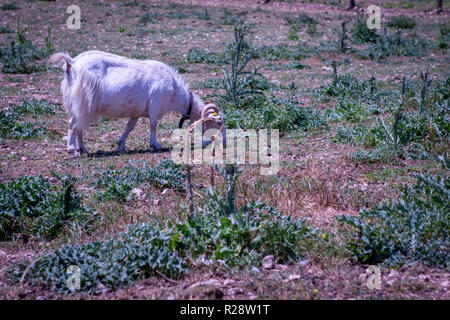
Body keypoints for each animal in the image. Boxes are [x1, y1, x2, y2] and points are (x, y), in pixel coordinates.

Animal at [49, 50, 225, 156]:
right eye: (218, 122)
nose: (223, 142)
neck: (175, 91)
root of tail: (72, 63)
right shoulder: (155, 105)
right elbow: (153, 125)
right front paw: (155, 144)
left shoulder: (136, 112)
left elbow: (130, 127)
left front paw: (121, 144)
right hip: (84, 101)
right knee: (73, 124)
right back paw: (72, 150)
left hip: (80, 105)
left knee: (78, 125)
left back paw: (83, 148)